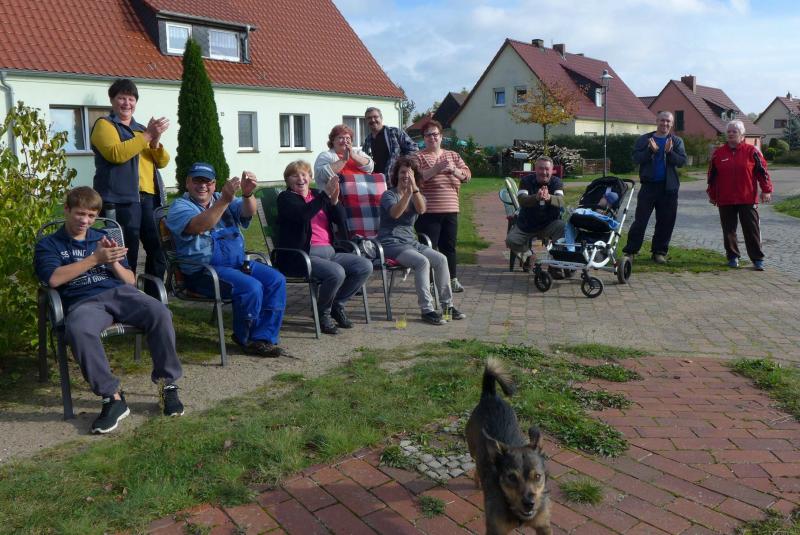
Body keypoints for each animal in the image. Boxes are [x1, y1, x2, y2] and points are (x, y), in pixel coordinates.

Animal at [465, 358, 552, 535]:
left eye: (537, 476)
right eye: (511, 477)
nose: (529, 504)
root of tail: (490, 395)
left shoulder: (544, 526)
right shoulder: (495, 530)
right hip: (472, 447)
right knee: (476, 465)